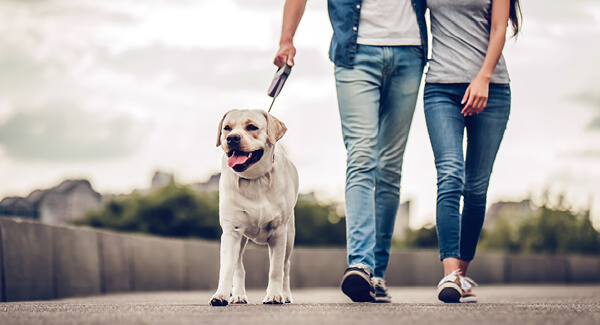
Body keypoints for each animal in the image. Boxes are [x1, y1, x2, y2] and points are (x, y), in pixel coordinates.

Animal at [210, 109, 298, 306]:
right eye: (227, 128)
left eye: (252, 127)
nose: (232, 138)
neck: (255, 179)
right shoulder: (231, 231)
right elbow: (227, 269)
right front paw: (220, 295)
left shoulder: (279, 231)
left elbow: (275, 269)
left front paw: (274, 295)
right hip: (241, 239)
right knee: (238, 268)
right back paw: (238, 295)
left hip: (289, 236)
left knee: (286, 266)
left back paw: (286, 294)